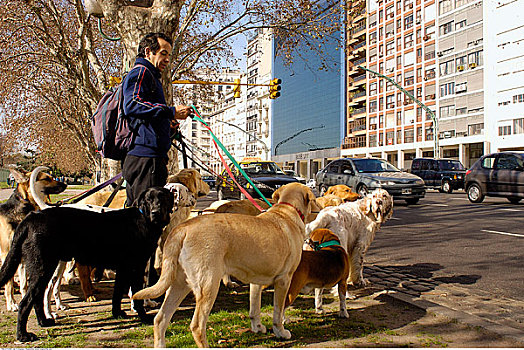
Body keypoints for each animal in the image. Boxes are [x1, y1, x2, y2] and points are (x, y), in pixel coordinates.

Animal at [0, 167, 66, 312]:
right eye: (46, 178)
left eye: (53, 176)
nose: (65, 184)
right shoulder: (8, 253)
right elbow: (9, 284)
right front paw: (11, 303)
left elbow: (24, 283)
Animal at [0, 186, 175, 342]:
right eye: (148, 200)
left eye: (163, 198)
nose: (156, 212)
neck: (144, 219)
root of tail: (30, 218)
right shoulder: (135, 267)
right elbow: (137, 296)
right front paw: (144, 317)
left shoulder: (123, 269)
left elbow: (117, 293)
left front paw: (117, 313)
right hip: (43, 267)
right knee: (25, 302)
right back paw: (23, 335)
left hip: (43, 268)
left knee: (36, 298)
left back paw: (44, 322)